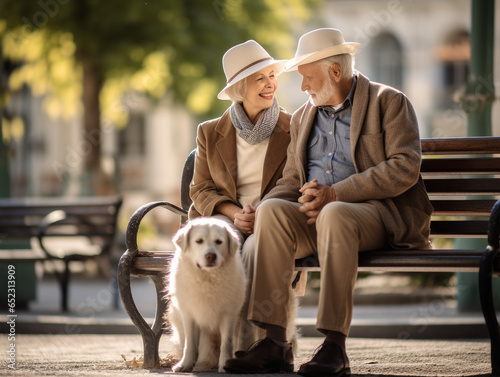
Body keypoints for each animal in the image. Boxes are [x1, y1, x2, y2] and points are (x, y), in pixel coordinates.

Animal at [166, 216, 248, 372]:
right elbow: (190, 344)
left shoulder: (228, 314)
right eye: (199, 241)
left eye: (219, 242)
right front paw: (185, 364)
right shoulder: (188, 315)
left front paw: (225, 364)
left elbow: (226, 343)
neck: (207, 278)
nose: (210, 256)